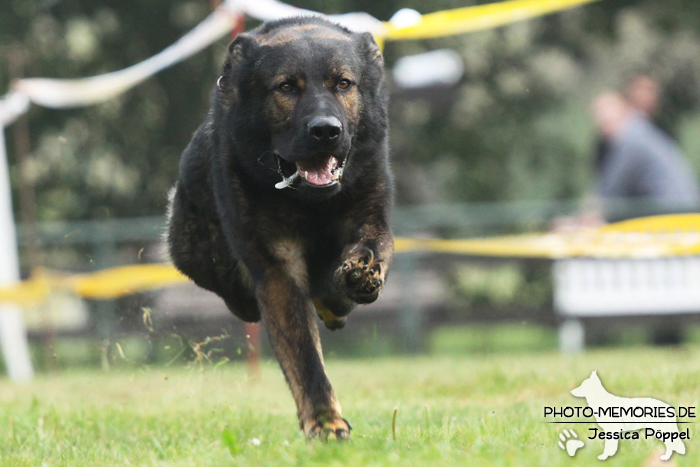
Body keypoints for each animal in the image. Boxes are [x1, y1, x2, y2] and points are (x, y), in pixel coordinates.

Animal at [166, 17, 392, 442]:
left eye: (343, 83)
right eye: (287, 87)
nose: (325, 131)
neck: (311, 203)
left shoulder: (370, 216)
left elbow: (372, 249)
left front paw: (361, 275)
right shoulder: (277, 272)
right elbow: (304, 358)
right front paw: (325, 422)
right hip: (204, 260)